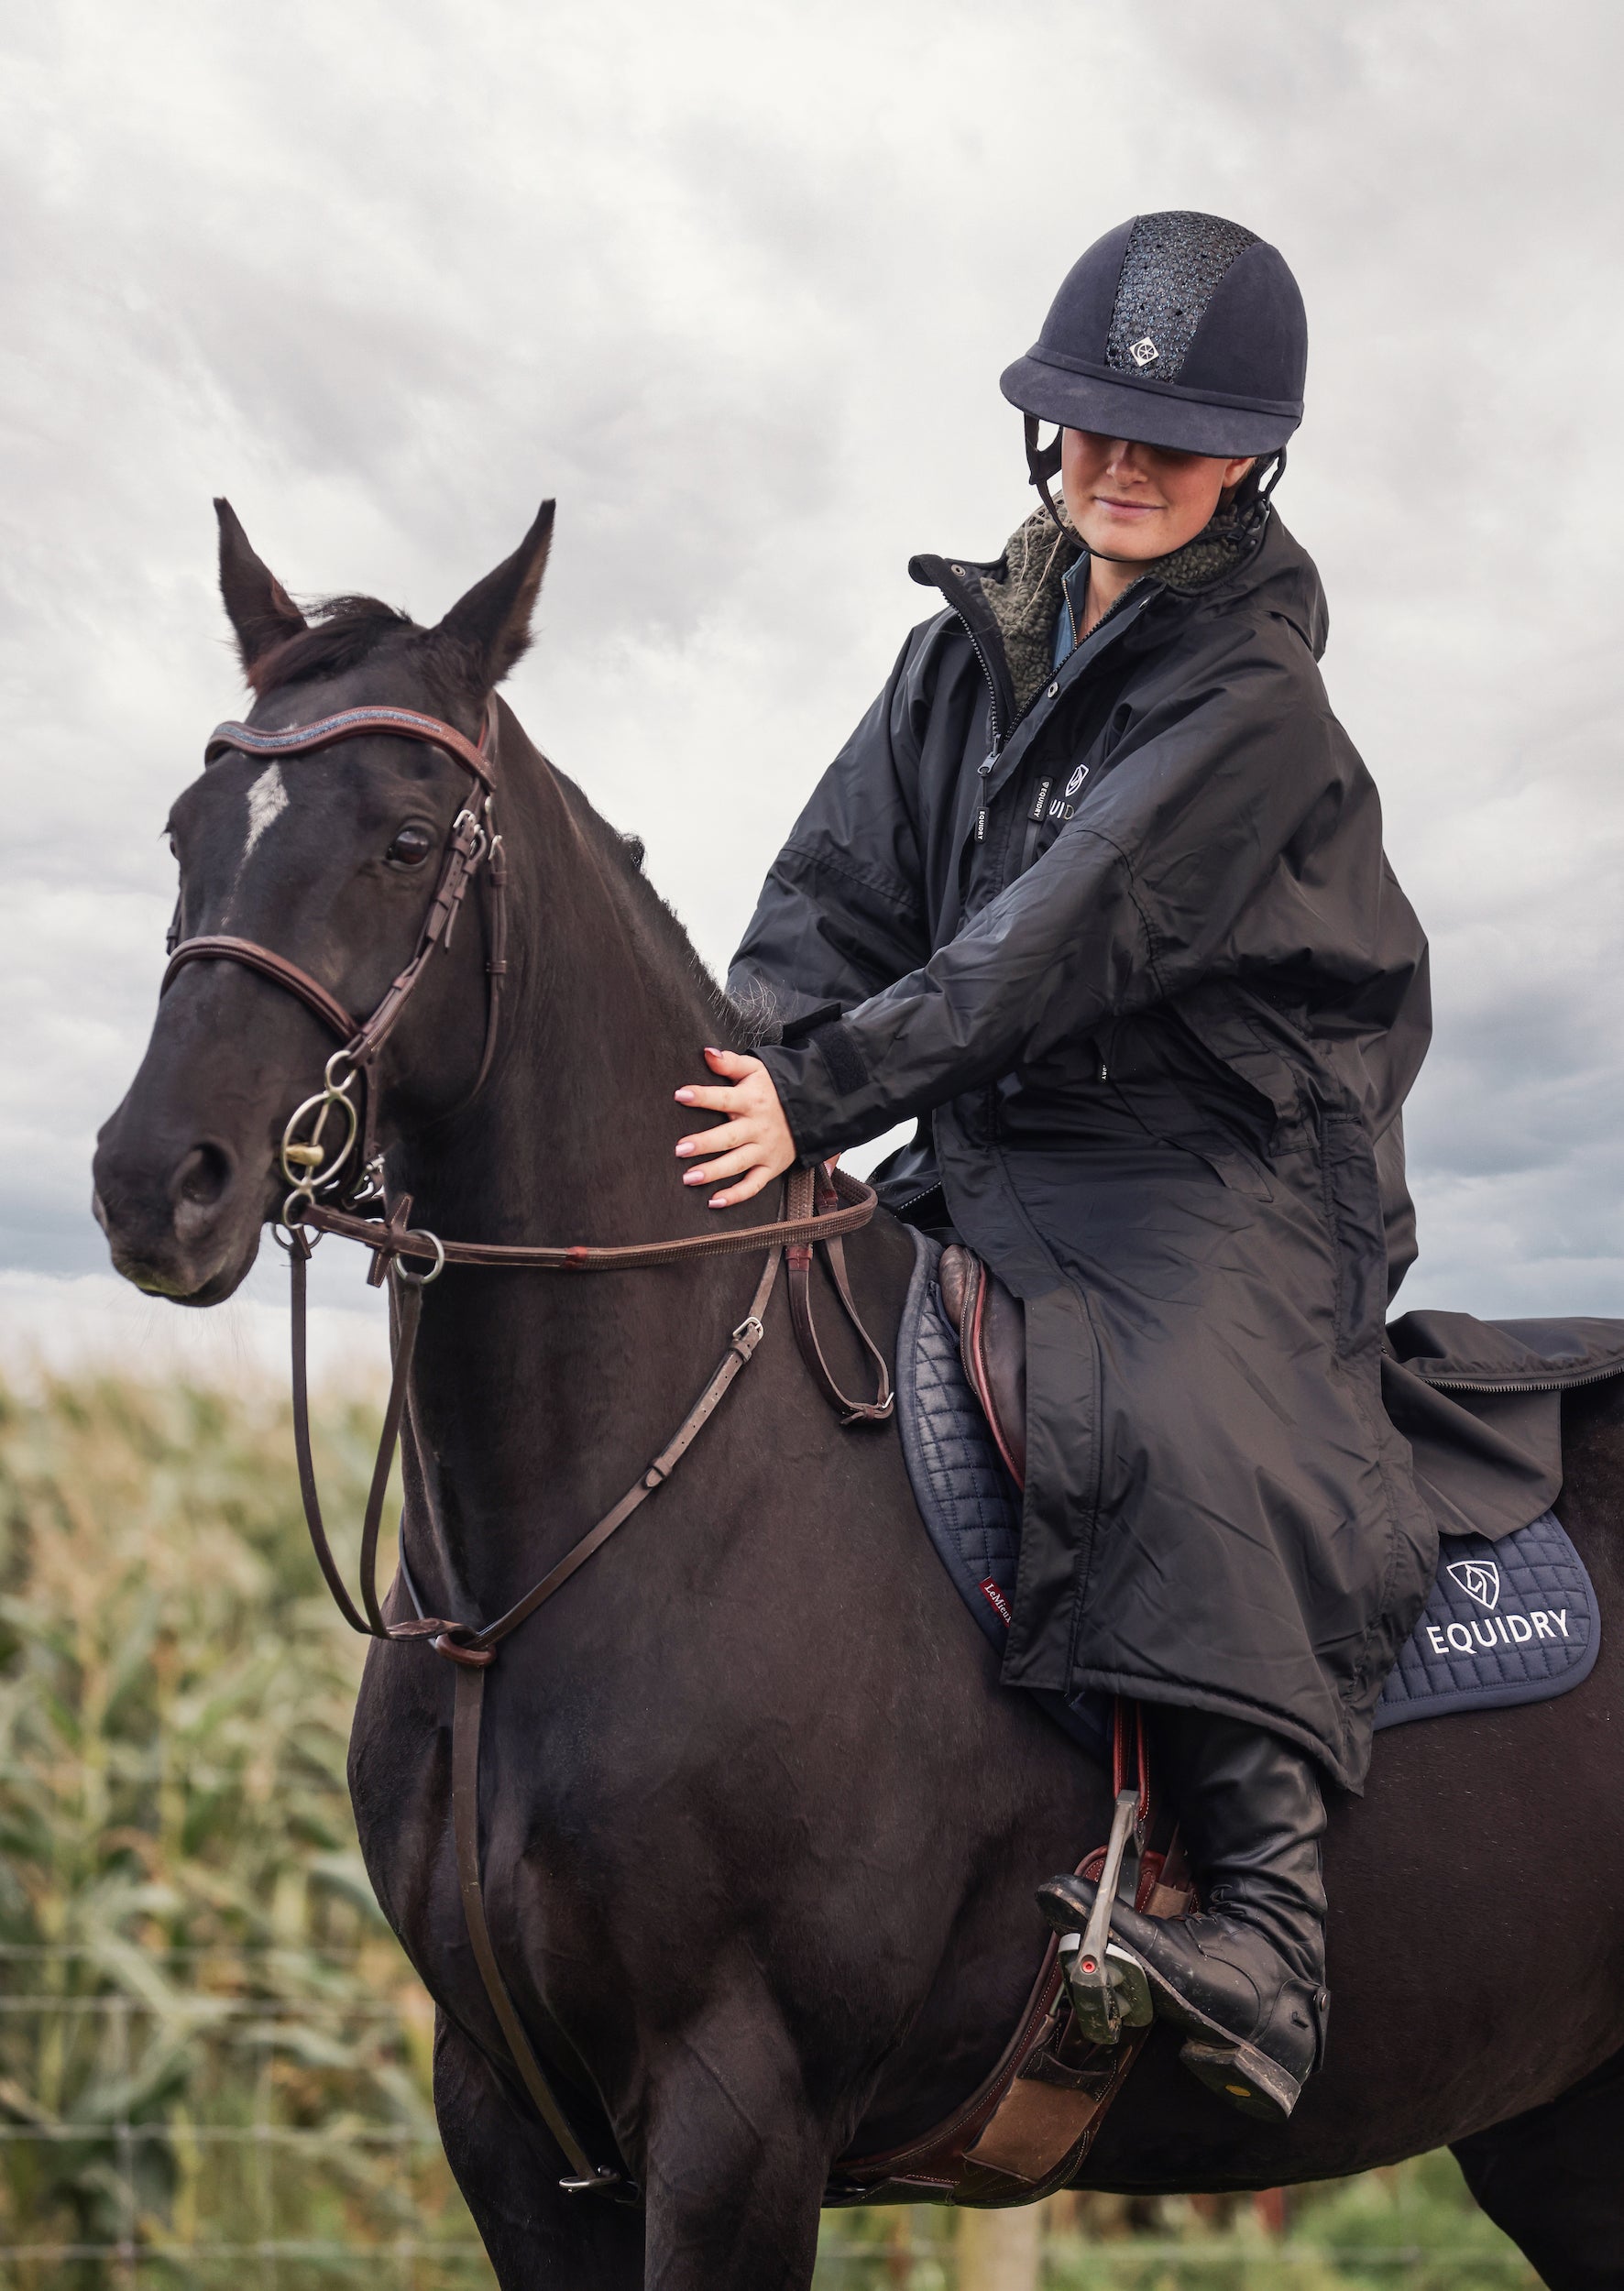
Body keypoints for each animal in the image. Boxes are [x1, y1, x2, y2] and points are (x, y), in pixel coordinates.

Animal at [94, 501, 1621, 2291]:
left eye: (407, 840)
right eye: (187, 826)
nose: (155, 1184)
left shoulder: (736, 2120)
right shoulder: (508, 2123)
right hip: (1561, 2132)